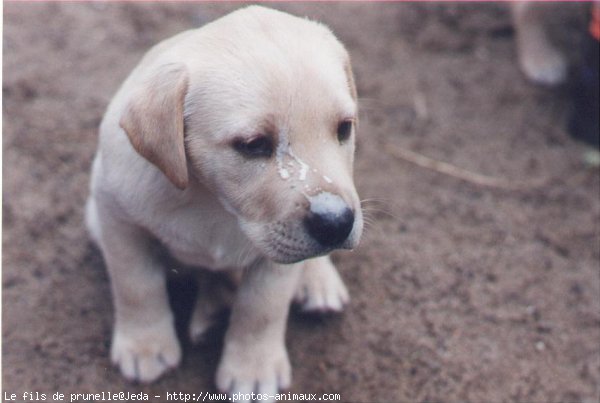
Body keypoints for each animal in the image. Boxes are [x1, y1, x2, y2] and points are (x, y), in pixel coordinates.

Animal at [85, 4, 360, 400]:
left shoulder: (276, 259)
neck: (215, 204)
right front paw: (145, 346)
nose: (337, 223)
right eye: (254, 144)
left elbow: (261, 309)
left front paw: (252, 370)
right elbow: (135, 284)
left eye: (344, 128)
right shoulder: (116, 215)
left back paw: (317, 281)